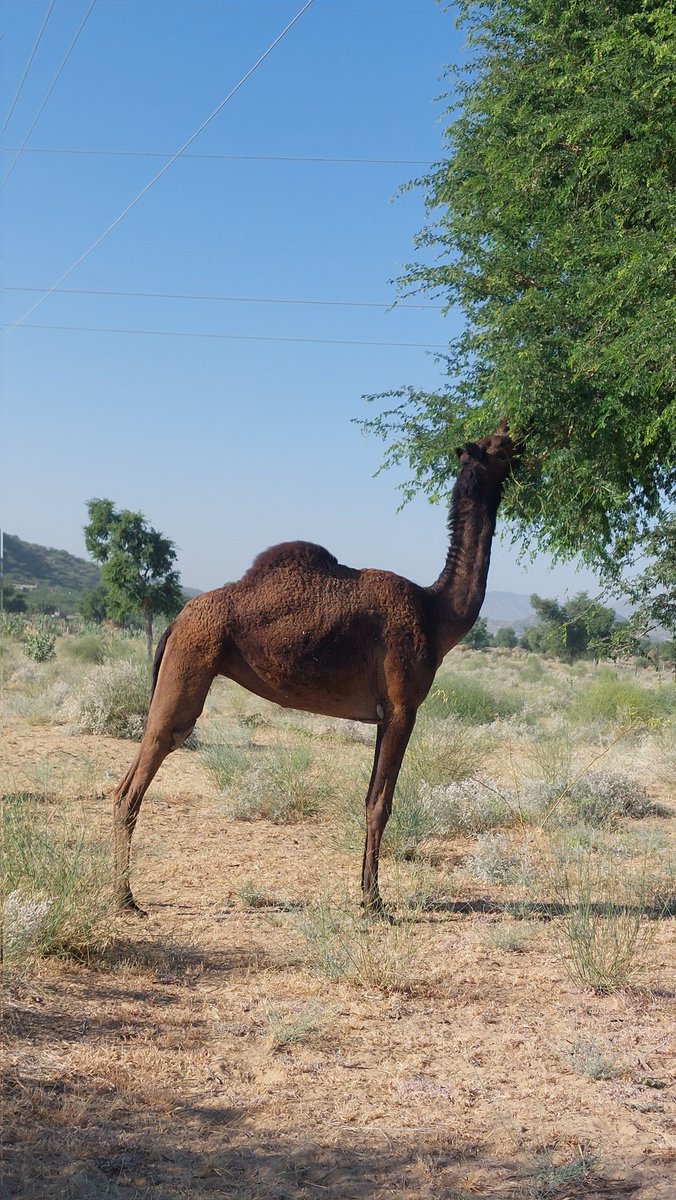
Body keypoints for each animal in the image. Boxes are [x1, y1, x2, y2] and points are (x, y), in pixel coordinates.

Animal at [113, 424, 516, 914]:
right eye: (498, 446)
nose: (520, 442)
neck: (437, 613)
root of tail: (174, 621)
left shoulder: (384, 713)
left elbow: (370, 799)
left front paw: (365, 893)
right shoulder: (404, 707)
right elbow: (381, 803)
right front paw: (374, 901)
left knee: (126, 783)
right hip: (189, 665)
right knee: (139, 778)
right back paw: (124, 898)